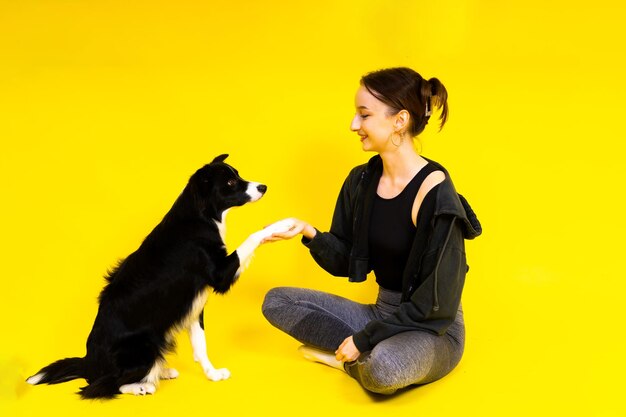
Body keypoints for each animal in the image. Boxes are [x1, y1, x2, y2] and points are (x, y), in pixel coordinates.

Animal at [25, 154, 294, 398]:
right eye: (229, 182)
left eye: (237, 174)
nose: (263, 187)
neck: (200, 216)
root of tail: (89, 362)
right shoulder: (218, 275)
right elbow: (252, 237)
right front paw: (283, 225)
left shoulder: (193, 305)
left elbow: (201, 345)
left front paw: (213, 374)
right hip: (145, 344)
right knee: (102, 385)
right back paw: (143, 385)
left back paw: (160, 371)